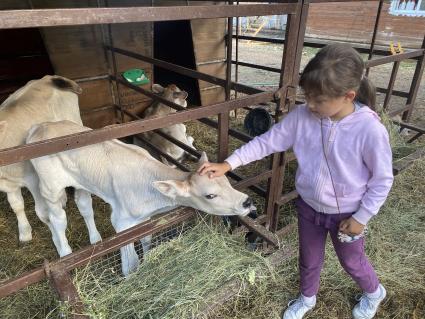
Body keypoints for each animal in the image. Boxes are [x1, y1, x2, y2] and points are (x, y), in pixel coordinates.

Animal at [26, 121, 253, 276]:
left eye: (227, 181)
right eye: (210, 195)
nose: (247, 202)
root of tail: (40, 126)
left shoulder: (145, 218)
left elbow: (146, 239)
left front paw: (147, 258)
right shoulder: (121, 222)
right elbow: (130, 259)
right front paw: (131, 275)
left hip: (82, 181)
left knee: (84, 205)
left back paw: (95, 240)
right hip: (50, 186)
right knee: (55, 218)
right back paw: (64, 252)